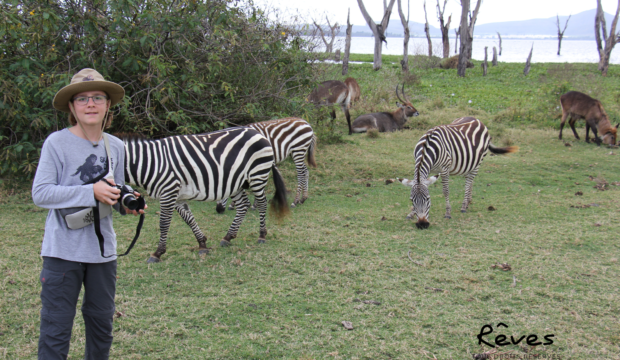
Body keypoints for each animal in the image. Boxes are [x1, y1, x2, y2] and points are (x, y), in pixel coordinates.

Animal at [124, 128, 294, 262]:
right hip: (237, 183)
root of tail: (259, 134)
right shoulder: (177, 196)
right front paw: (202, 244)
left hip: (257, 175)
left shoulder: (168, 191)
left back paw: (262, 235)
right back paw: (228, 237)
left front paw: (158, 253)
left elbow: (164, 223)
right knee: (243, 205)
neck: (151, 162)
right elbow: (189, 219)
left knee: (263, 203)